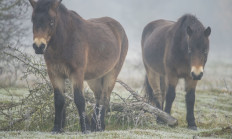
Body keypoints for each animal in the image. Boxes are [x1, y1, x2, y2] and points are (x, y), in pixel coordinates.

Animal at [28, 0, 129, 133]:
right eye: (33, 20)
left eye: (51, 21)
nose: (39, 46)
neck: (65, 41)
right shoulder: (55, 73)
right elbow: (59, 100)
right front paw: (57, 128)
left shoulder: (76, 73)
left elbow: (79, 99)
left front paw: (85, 129)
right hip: (94, 78)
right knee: (98, 97)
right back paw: (96, 126)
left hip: (112, 73)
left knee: (105, 98)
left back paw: (98, 127)